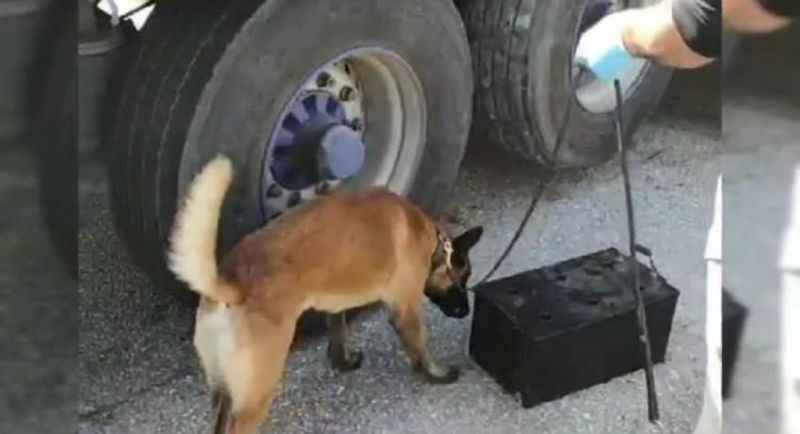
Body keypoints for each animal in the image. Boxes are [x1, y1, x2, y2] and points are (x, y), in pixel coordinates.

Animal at [166, 156, 484, 434]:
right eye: (464, 278)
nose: (467, 311)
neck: (434, 244)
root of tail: (234, 280)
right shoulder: (406, 310)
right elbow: (420, 349)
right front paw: (437, 375)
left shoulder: (336, 306)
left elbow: (338, 333)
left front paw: (343, 361)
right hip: (257, 389)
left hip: (225, 390)